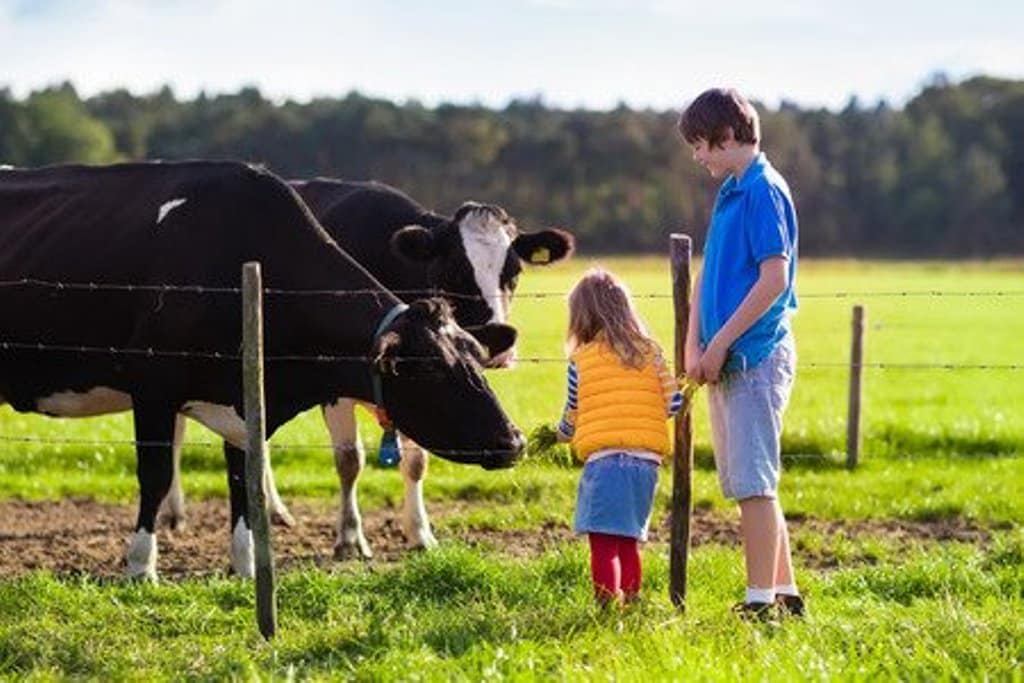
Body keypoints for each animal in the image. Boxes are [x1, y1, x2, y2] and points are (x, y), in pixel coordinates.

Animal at [0, 161, 524, 581]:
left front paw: (246, 564)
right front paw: (141, 566)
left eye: (474, 356)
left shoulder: (245, 396)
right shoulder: (153, 388)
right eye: (432, 368)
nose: (514, 440)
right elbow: (154, 475)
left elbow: (242, 479)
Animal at [161, 179, 577, 557]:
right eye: (457, 272)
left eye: (513, 274)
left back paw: (273, 509)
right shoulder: (337, 388)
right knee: (180, 433)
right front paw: (349, 538)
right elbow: (350, 460)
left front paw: (420, 533)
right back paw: (174, 512)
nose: (499, 346)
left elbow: (416, 462)